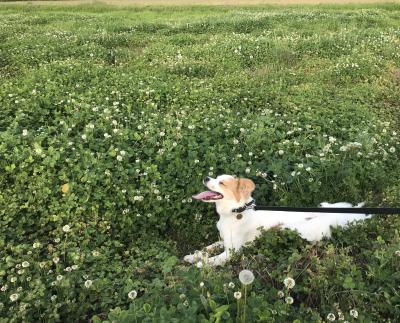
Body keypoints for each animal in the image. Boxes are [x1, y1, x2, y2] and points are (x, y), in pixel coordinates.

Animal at [183, 176, 368, 268]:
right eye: (215, 177)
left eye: (221, 182)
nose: (206, 177)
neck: (236, 212)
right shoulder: (223, 240)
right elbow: (206, 249)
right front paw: (192, 256)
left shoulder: (232, 252)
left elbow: (212, 259)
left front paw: (201, 264)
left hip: (308, 231)